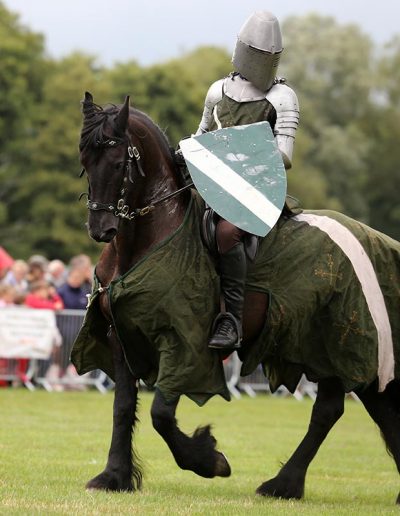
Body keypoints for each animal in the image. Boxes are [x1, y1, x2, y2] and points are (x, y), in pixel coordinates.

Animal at [72, 92, 400, 504]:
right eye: (85, 162)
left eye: (118, 163)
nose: (101, 229)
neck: (151, 237)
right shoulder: (122, 338)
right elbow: (122, 406)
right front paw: (114, 476)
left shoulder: (182, 342)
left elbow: (161, 413)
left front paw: (208, 460)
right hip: (342, 351)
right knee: (367, 409)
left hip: (341, 342)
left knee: (329, 411)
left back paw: (282, 484)